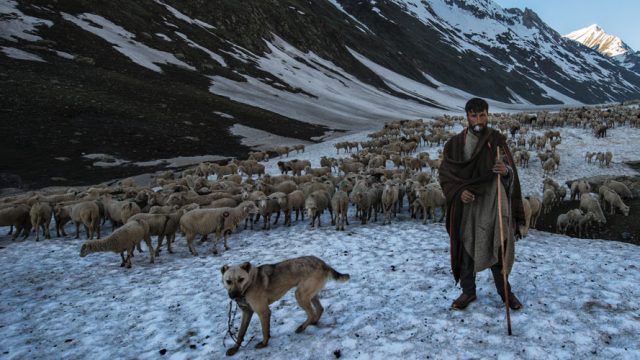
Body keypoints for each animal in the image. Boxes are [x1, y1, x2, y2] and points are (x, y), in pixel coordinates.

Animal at [220, 256, 350, 358]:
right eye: (228, 281)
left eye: (241, 279)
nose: (234, 296)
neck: (250, 283)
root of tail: (322, 263)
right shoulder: (247, 312)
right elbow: (241, 333)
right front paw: (235, 348)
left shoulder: (263, 311)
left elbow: (264, 331)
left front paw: (264, 344)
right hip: (310, 295)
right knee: (319, 309)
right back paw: (312, 323)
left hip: (300, 295)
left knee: (312, 313)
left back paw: (302, 327)